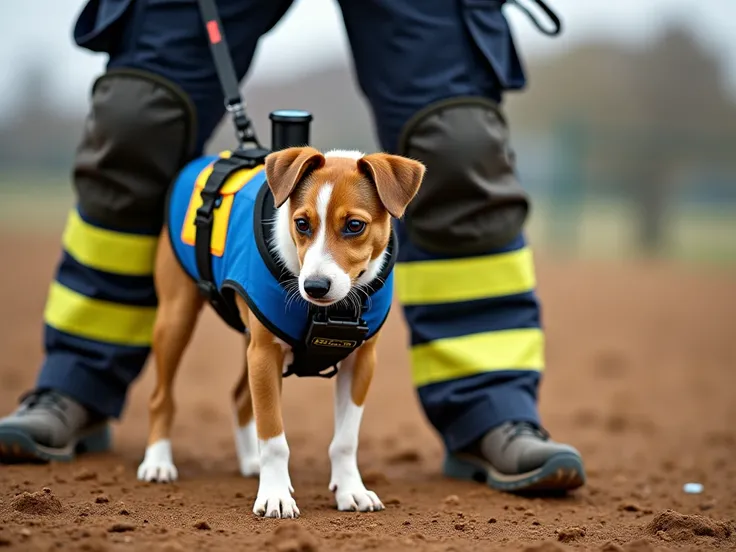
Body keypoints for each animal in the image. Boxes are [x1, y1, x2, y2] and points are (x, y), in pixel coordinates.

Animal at [137, 146, 426, 516]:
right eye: (301, 223)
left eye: (355, 225)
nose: (314, 286)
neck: (332, 310)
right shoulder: (265, 354)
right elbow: (274, 437)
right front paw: (275, 495)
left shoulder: (361, 361)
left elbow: (345, 440)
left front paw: (351, 490)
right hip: (177, 317)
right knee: (162, 396)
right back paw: (158, 462)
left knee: (241, 397)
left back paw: (251, 462)